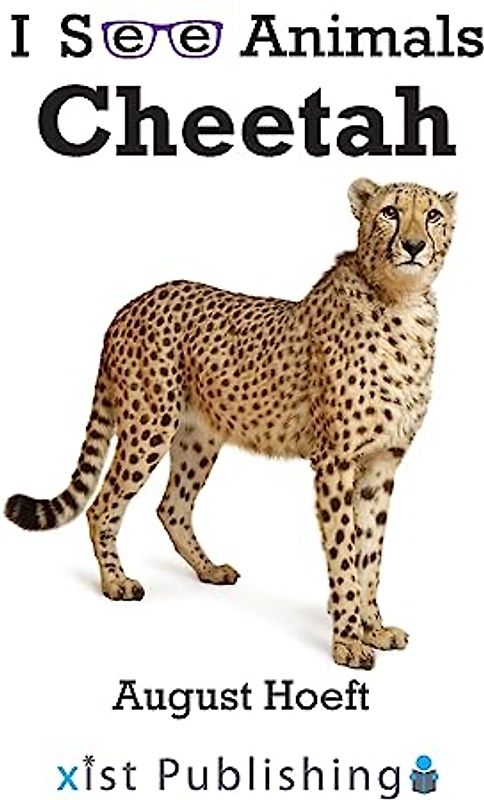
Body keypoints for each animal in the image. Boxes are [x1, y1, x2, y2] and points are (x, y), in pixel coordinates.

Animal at [4, 178, 456, 670]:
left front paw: (374, 627)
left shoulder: (381, 464)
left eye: (432, 215)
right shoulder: (335, 462)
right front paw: (348, 641)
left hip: (197, 437)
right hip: (149, 424)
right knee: (102, 504)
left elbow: (369, 552)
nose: (413, 245)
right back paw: (115, 583)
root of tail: (132, 303)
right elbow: (344, 553)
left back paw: (209, 569)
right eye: (390, 212)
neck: (401, 302)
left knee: (172, 506)